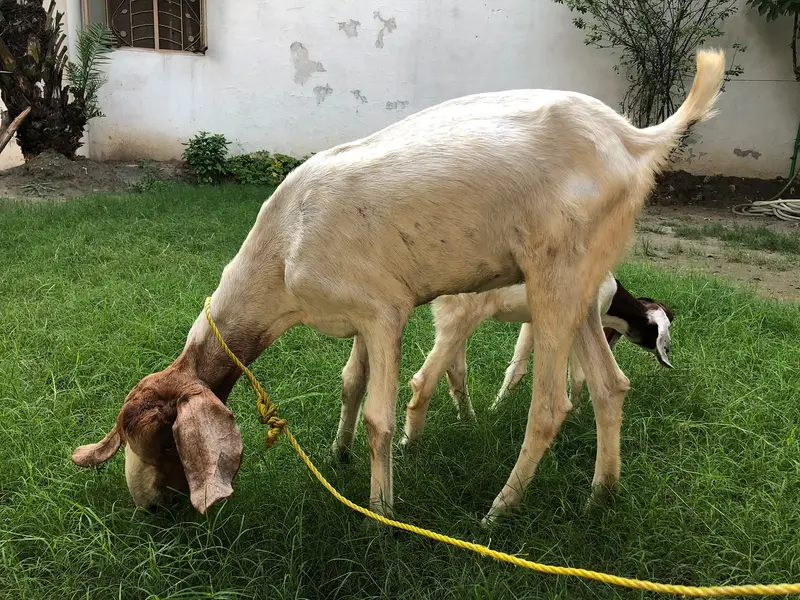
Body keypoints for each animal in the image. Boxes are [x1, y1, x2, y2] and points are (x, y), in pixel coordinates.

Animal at [403, 273, 674, 447]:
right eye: (664, 336)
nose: (668, 354)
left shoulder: (534, 322)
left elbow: (517, 369)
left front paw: (495, 409)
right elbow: (577, 375)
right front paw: (577, 414)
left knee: (456, 370)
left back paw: (469, 420)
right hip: (463, 313)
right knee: (424, 379)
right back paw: (408, 446)